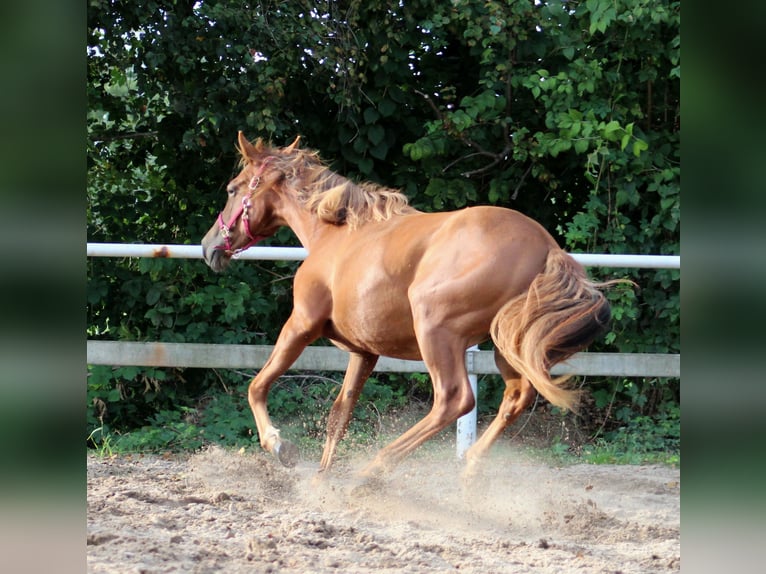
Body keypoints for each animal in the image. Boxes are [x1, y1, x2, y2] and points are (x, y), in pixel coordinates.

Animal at [201, 133, 616, 480]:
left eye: (233, 188)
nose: (209, 246)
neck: (335, 234)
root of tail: (546, 246)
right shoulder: (362, 352)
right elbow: (339, 415)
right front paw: (321, 481)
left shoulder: (301, 324)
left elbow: (257, 385)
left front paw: (279, 446)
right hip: (505, 343)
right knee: (516, 398)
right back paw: (468, 474)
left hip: (436, 329)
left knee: (454, 399)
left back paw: (374, 471)